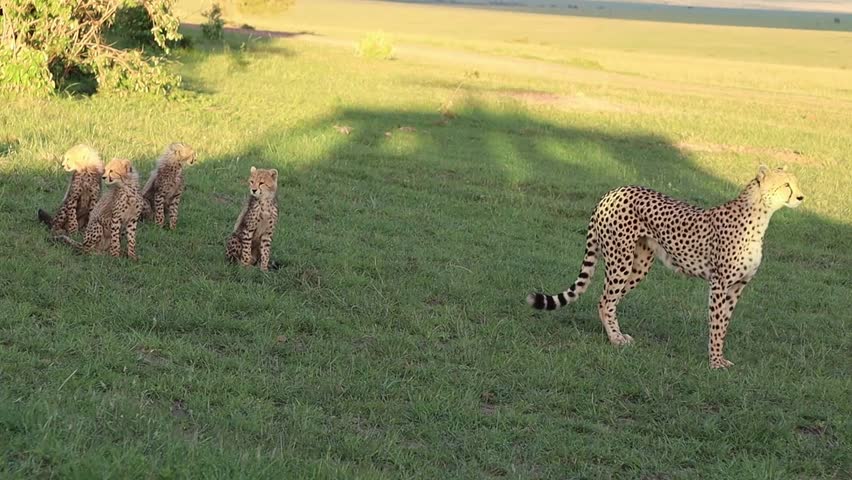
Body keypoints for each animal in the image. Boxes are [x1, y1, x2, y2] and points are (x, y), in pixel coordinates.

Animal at [526, 166, 805, 369]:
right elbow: (716, 324)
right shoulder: (719, 283)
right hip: (620, 259)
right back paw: (615, 339)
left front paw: (720, 357)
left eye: (797, 182)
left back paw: (616, 334)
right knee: (605, 299)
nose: (802, 197)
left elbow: (724, 323)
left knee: (607, 300)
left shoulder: (737, 287)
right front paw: (715, 362)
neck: (760, 216)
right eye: (786, 185)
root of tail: (613, 191)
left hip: (639, 264)